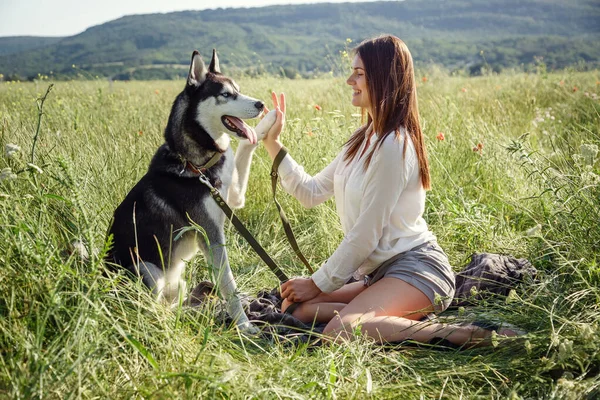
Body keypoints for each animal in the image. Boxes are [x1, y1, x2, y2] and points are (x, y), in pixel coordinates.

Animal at [106, 50, 276, 332]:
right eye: (226, 94)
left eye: (239, 90)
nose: (261, 104)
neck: (196, 165)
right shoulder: (211, 235)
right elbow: (229, 285)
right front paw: (244, 325)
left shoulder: (234, 196)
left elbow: (246, 147)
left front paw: (272, 121)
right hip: (147, 269)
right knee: (150, 312)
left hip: (178, 283)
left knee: (171, 306)